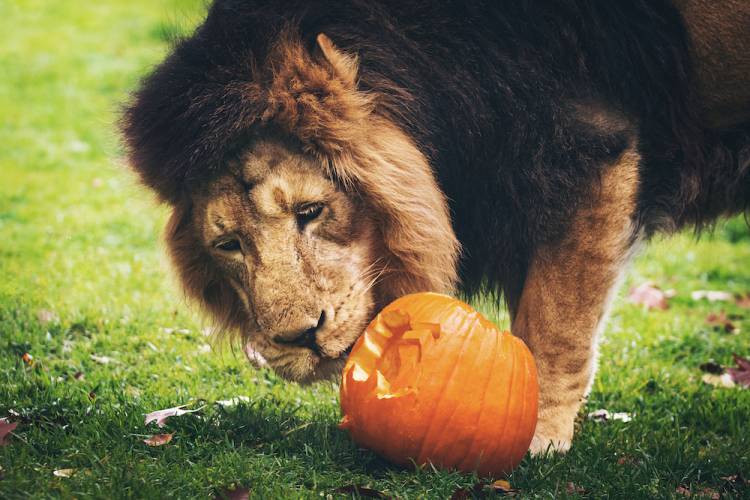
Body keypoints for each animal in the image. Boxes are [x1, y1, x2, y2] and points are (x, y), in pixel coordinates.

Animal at [122, 0, 750, 455]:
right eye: (229, 244)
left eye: (310, 211)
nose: (299, 337)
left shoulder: (593, 147)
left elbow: (554, 324)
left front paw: (534, 439)